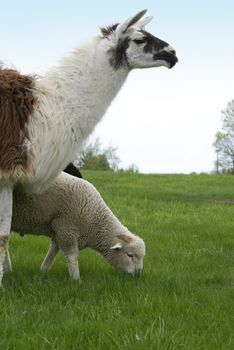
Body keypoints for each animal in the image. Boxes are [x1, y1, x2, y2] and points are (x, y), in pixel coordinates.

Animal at [10, 173, 146, 282]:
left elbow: (53, 252)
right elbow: (72, 256)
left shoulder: (58, 232)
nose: (138, 274)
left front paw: (44, 270)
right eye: (130, 255)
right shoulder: (67, 228)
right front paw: (76, 279)